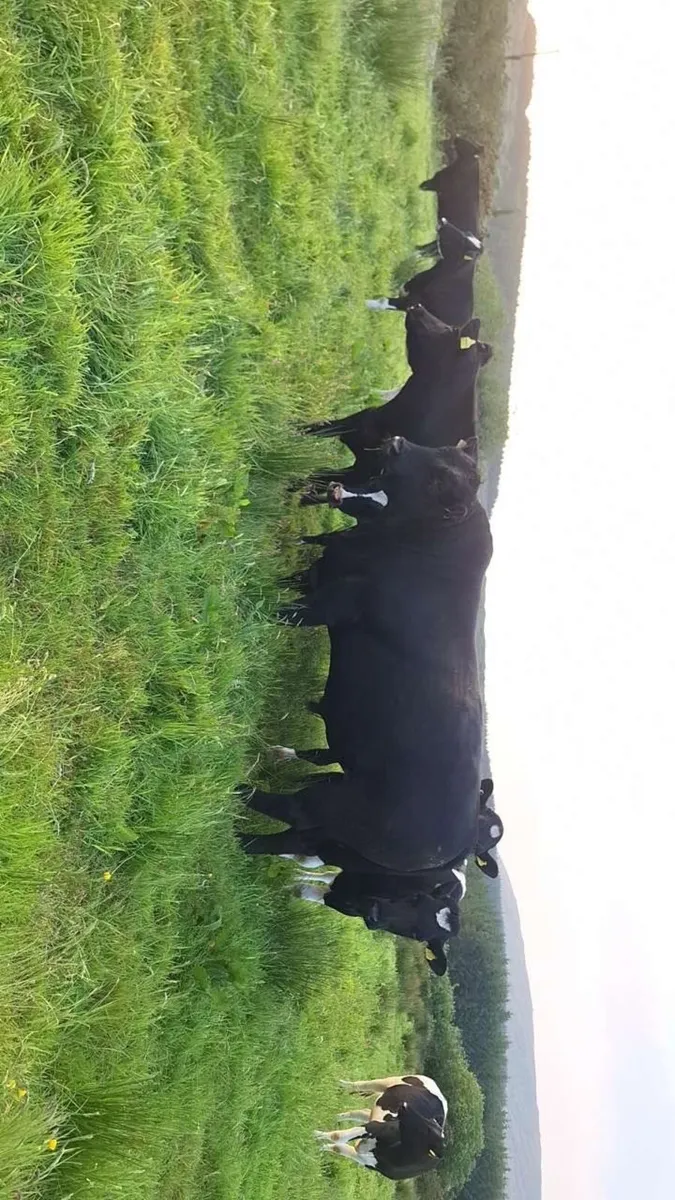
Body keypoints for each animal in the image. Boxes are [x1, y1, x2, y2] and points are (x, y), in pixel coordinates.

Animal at [239, 438, 493, 912]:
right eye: (440, 450)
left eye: (440, 481)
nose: (397, 442)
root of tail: (457, 850)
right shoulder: (319, 574)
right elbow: (283, 586)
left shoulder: (331, 604)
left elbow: (279, 610)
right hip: (335, 829)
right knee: (277, 840)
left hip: (333, 806)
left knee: (288, 812)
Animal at [314, 1075, 447, 1180]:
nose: (404, 1105)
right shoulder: (374, 1127)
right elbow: (338, 1137)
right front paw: (316, 1136)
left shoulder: (366, 1161)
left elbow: (338, 1147)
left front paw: (321, 1146)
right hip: (388, 1082)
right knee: (364, 1085)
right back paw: (343, 1085)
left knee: (361, 1112)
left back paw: (336, 1117)